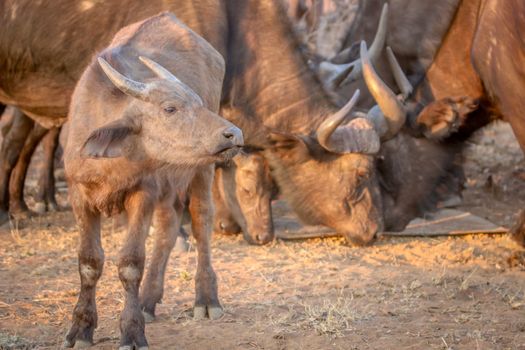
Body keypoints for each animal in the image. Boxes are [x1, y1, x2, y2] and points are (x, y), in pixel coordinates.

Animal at [63, 13, 242, 348]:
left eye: (199, 103)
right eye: (169, 108)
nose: (234, 134)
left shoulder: (142, 194)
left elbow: (131, 263)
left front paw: (132, 331)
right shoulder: (79, 196)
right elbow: (89, 262)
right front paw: (81, 328)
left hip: (201, 169)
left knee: (201, 220)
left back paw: (206, 298)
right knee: (168, 228)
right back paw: (148, 300)